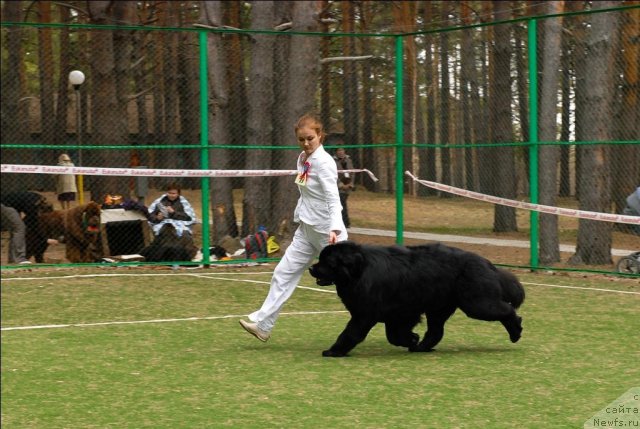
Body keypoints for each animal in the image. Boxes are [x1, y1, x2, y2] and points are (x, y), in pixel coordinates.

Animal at [308, 242, 524, 356]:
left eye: (327, 262)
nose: (311, 268)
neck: (358, 272)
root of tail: (487, 263)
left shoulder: (365, 315)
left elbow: (350, 333)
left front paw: (334, 351)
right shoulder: (399, 314)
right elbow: (394, 335)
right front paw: (412, 339)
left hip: (476, 303)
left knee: (507, 310)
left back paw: (516, 332)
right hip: (438, 308)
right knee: (436, 331)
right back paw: (422, 347)